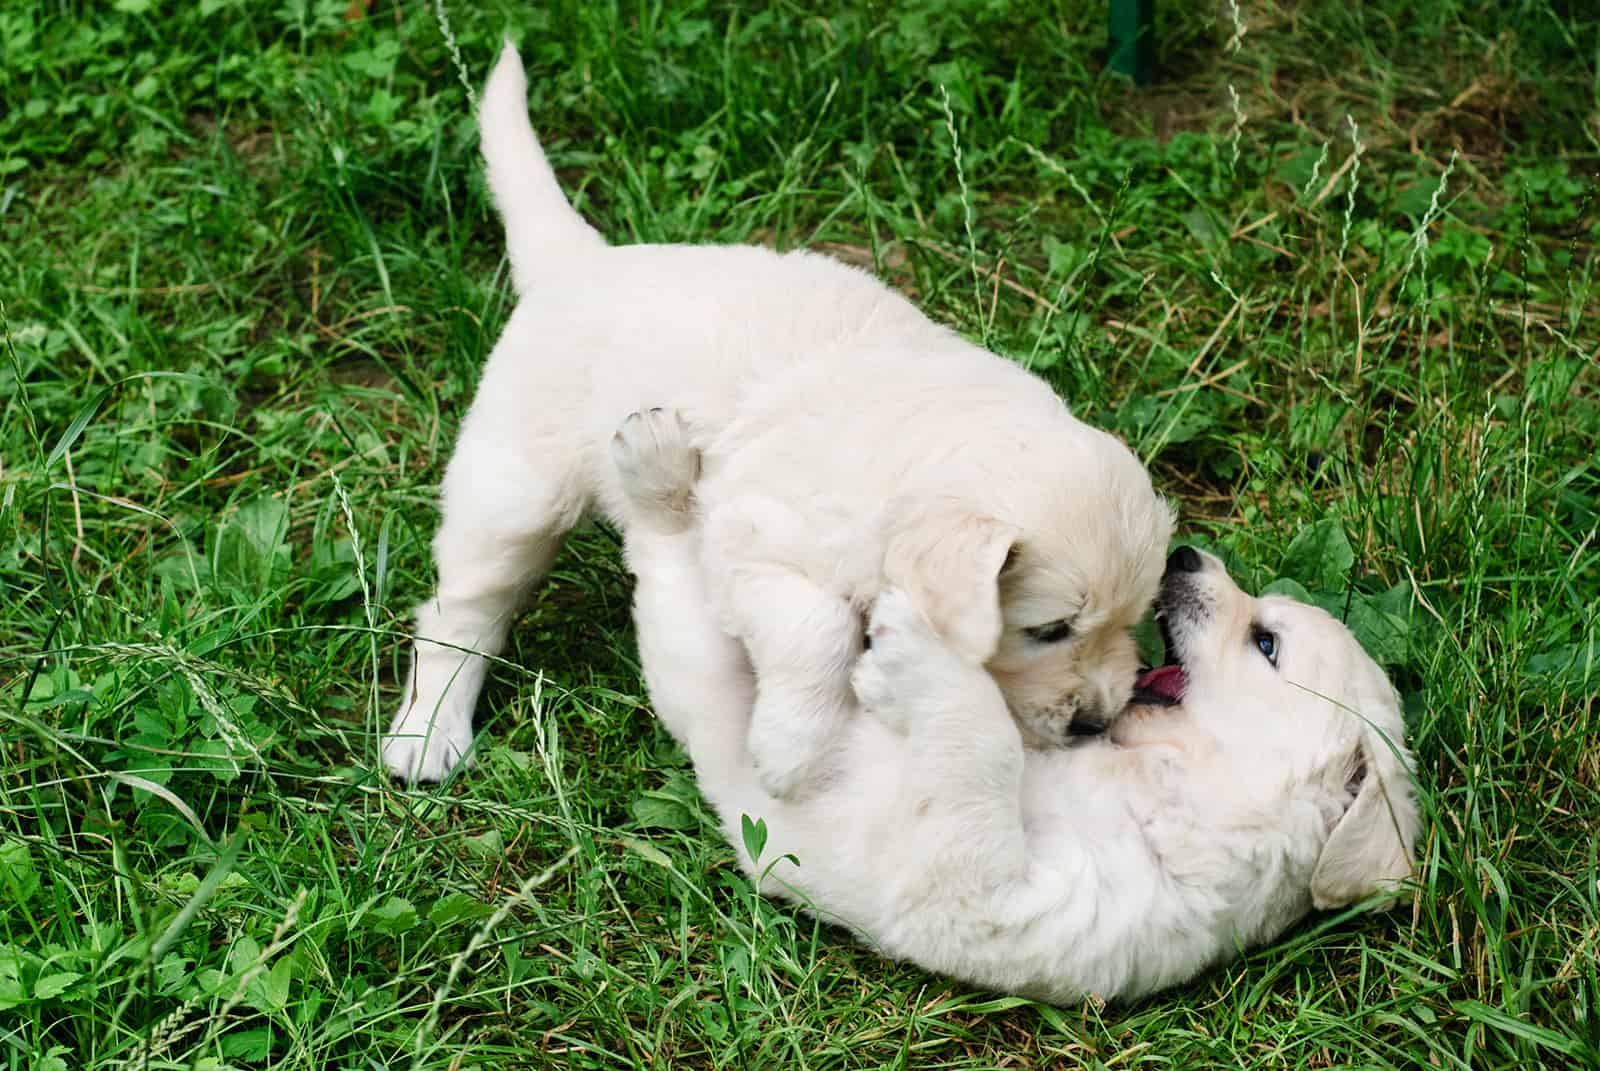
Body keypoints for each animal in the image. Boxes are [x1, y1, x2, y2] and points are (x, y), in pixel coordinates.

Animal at [380, 43, 1171, 784]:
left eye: (1132, 621)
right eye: (1050, 628)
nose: (1095, 722)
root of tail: (580, 261)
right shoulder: (753, 542)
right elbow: (817, 629)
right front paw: (791, 747)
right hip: (513, 488)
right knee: (461, 614)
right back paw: (427, 733)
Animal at [614, 416, 1427, 1005]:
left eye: (1266, 642)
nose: (1187, 556)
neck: (1173, 792)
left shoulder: (998, 896)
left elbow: (984, 748)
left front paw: (914, 648)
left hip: (691, 659)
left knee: (670, 558)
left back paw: (653, 467)